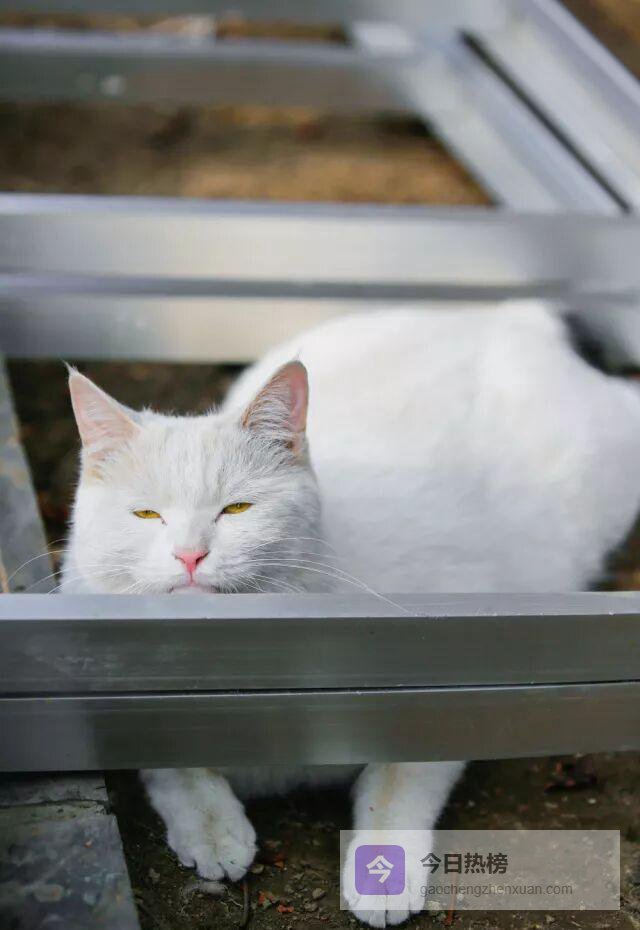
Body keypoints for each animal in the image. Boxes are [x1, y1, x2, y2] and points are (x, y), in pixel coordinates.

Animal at [62, 301, 640, 927]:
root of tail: (506, 313)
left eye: (237, 508)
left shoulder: (456, 665)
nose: (190, 554)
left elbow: (399, 780)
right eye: (146, 514)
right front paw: (213, 832)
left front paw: (381, 871)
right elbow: (169, 765)